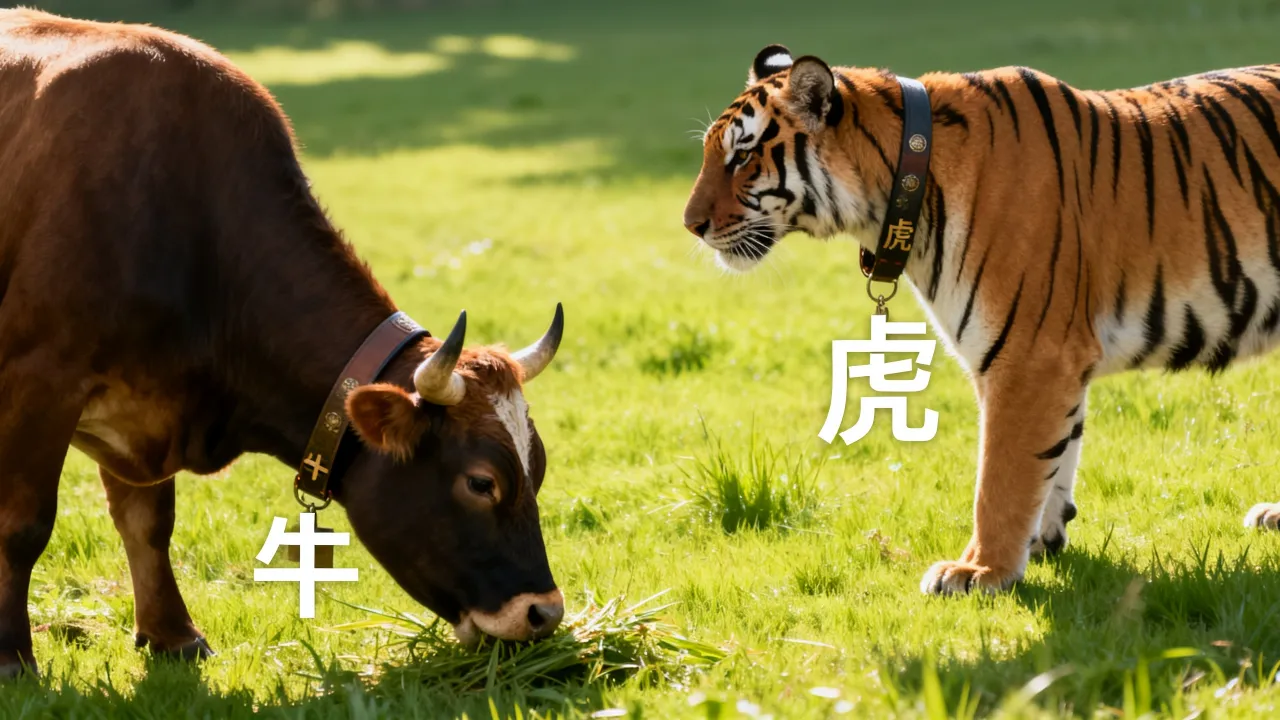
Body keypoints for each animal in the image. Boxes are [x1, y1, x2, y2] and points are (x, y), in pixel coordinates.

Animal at [683, 44, 1280, 595]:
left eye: (742, 157)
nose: (690, 225)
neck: (901, 187)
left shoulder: (1029, 356)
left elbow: (1001, 476)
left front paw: (978, 570)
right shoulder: (1055, 358)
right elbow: (1055, 455)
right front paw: (1042, 539)